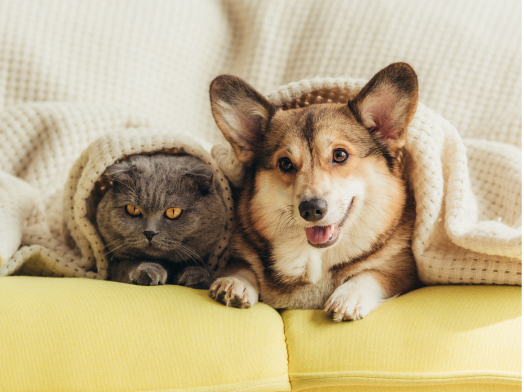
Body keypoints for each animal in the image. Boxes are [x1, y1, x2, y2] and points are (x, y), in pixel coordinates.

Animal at [95, 154, 226, 288]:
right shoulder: (113, 266)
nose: (149, 232)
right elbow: (127, 265)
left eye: (173, 212)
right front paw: (147, 271)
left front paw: (196, 275)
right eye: (133, 209)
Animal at [207, 63, 420, 322]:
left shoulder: (403, 271)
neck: (314, 257)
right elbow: (242, 266)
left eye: (340, 155)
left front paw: (350, 296)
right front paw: (234, 282)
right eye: (285, 163)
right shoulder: (241, 252)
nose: (311, 209)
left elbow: (372, 273)